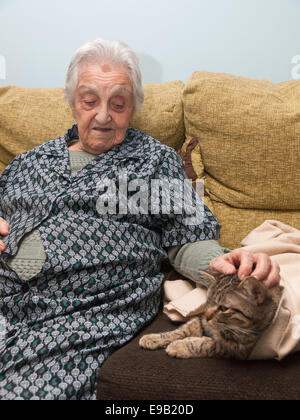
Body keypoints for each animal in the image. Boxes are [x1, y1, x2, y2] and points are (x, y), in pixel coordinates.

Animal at [139, 272, 282, 360]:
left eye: (223, 308)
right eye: (208, 301)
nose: (207, 317)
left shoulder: (235, 349)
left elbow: (202, 344)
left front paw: (179, 346)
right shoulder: (200, 322)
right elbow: (181, 331)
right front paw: (154, 338)